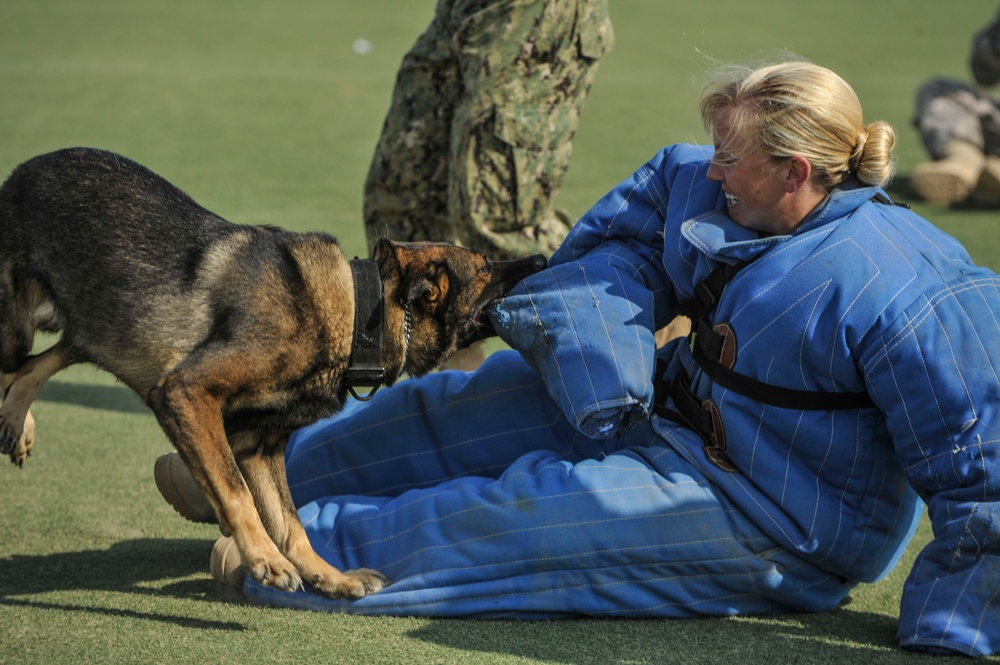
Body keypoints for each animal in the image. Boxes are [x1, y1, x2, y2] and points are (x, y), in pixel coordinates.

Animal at [0, 149, 548, 596]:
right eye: (484, 266)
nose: (543, 257)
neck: (357, 311)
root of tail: (20, 172)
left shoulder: (259, 447)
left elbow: (290, 521)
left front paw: (329, 576)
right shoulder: (186, 393)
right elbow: (236, 492)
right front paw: (265, 559)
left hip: (103, 326)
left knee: (37, 364)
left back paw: (16, 419)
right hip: (20, 325)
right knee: (16, 365)